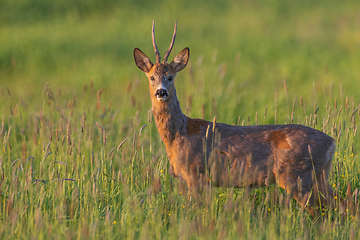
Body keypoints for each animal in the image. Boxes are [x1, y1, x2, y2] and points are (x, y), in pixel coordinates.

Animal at [134, 20, 348, 216]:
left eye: (171, 77)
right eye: (152, 77)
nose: (161, 92)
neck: (180, 133)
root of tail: (332, 142)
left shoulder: (196, 172)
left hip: (297, 175)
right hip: (318, 175)